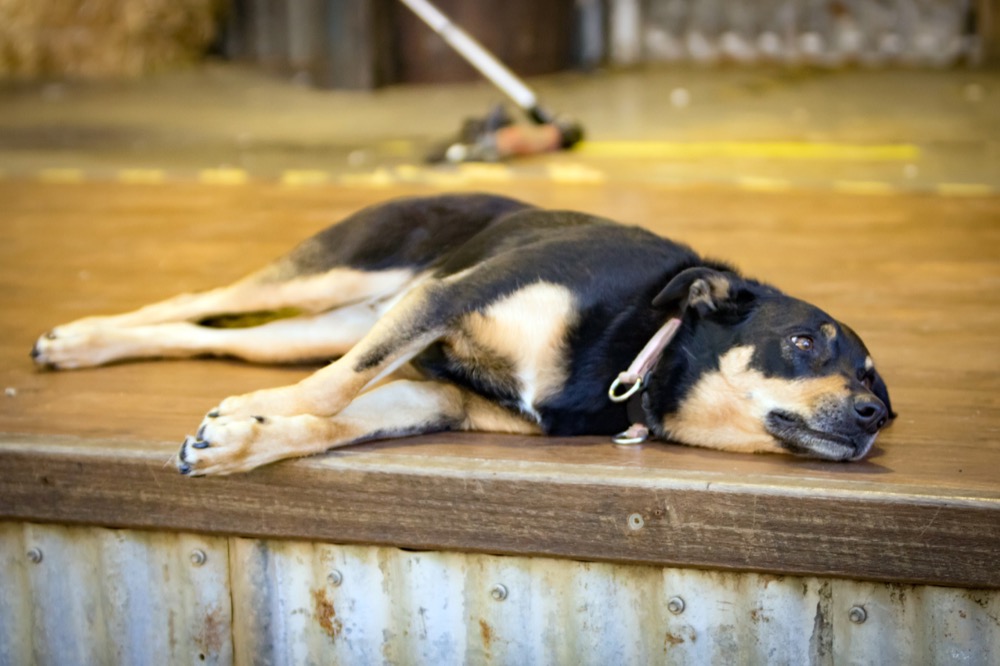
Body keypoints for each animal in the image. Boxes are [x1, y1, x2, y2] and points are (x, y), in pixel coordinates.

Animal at [31, 191, 896, 472]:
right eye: (806, 342)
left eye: (875, 383)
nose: (873, 418)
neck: (636, 351)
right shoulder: (452, 297)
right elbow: (334, 391)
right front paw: (249, 414)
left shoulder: (438, 400)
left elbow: (330, 420)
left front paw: (242, 438)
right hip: (349, 273)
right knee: (202, 297)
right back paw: (77, 337)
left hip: (333, 323)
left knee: (218, 334)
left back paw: (91, 347)